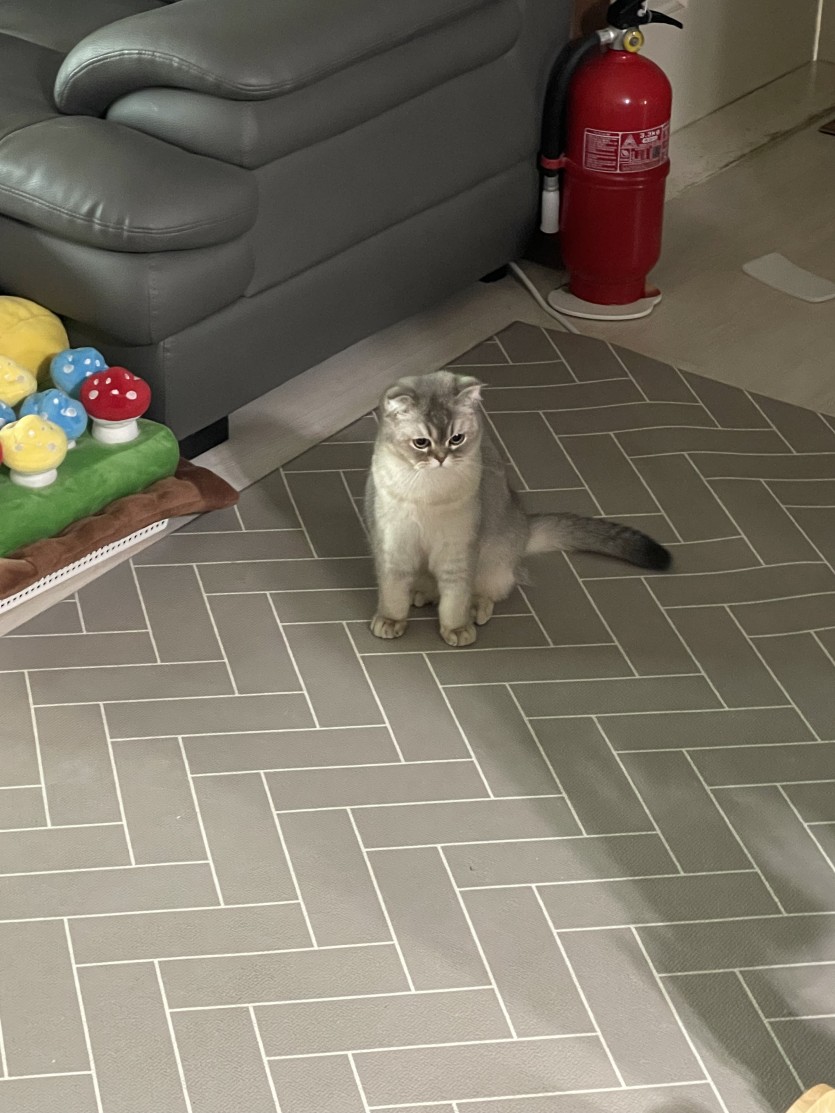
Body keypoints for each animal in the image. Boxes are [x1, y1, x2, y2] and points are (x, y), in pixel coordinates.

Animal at [364, 369, 670, 647]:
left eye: (456, 439)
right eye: (421, 443)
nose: (441, 458)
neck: (428, 494)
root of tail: (524, 527)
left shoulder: (458, 550)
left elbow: (455, 599)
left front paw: (457, 629)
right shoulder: (394, 545)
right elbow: (393, 593)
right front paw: (391, 621)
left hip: (491, 562)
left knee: (486, 591)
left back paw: (475, 609)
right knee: (429, 587)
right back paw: (420, 595)